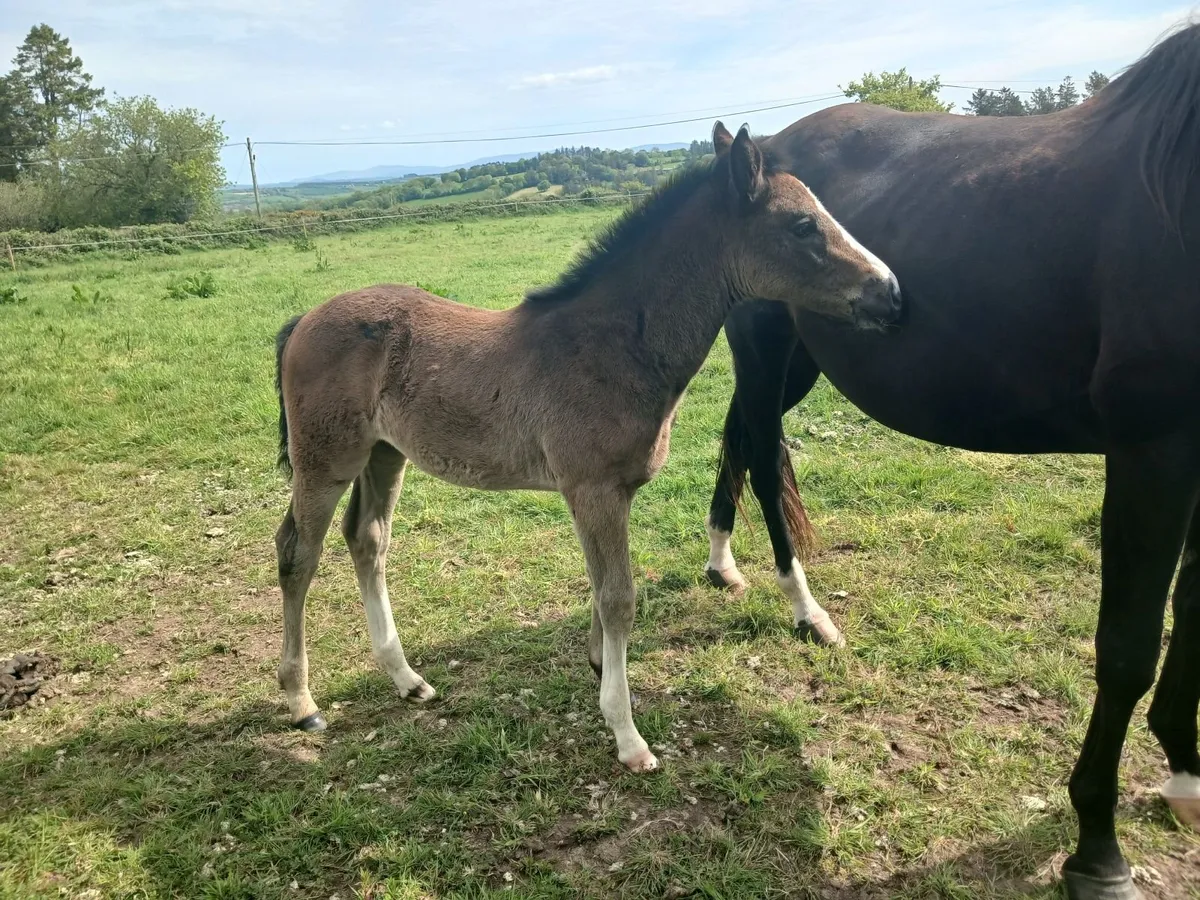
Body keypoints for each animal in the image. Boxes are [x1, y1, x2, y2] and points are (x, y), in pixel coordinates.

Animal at [270, 122, 902, 774]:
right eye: (802, 225)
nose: (891, 292)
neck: (616, 343)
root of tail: (304, 321)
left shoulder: (608, 492)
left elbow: (601, 590)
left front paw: (600, 666)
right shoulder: (593, 488)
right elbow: (619, 598)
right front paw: (627, 735)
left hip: (383, 455)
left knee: (367, 542)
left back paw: (407, 679)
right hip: (326, 461)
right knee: (297, 552)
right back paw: (301, 701)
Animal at [701, 22, 1200, 900]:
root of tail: (753, 153)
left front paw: (1186, 770)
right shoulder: (1154, 451)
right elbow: (1127, 648)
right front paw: (1098, 852)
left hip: (796, 364)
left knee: (738, 441)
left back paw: (723, 563)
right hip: (765, 350)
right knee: (761, 462)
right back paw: (807, 612)